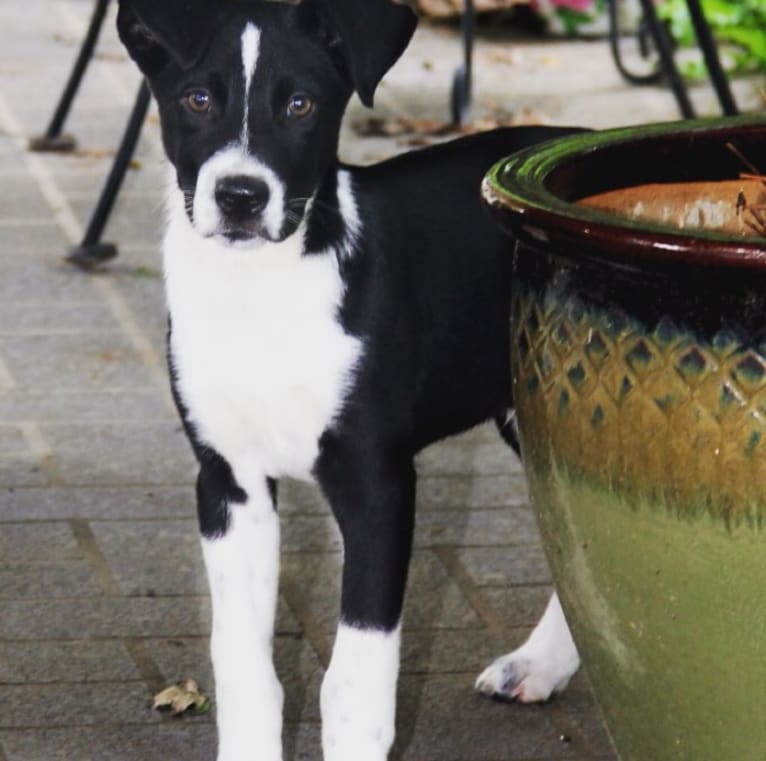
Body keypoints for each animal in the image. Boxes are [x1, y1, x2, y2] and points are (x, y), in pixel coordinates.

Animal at [115, 2, 584, 756]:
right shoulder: (228, 482)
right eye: (197, 99)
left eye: (300, 104)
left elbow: (353, 684)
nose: (240, 196)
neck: (260, 294)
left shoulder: (376, 482)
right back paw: (540, 663)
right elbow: (242, 664)